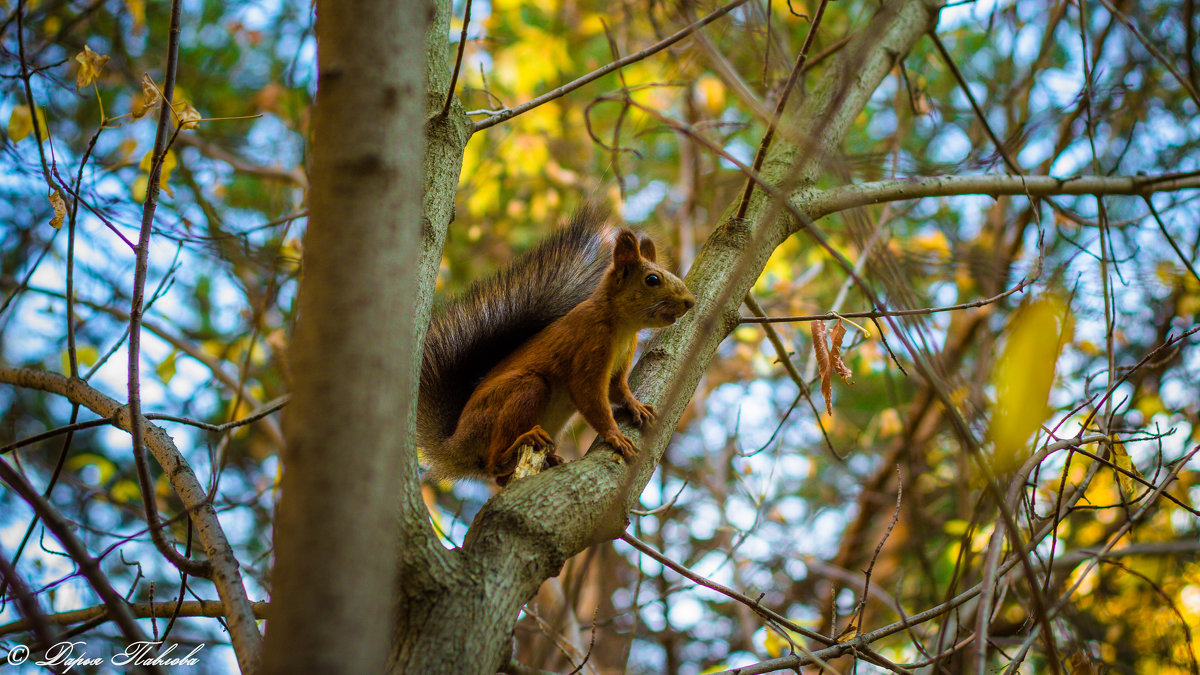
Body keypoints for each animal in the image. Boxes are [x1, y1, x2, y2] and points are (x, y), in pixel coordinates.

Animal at [420, 205, 696, 482]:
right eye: (652, 279)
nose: (690, 301)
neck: (622, 327)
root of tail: (457, 446)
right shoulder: (589, 345)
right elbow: (591, 398)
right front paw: (615, 435)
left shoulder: (619, 365)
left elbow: (617, 388)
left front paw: (635, 405)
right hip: (518, 393)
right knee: (493, 463)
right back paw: (519, 444)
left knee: (499, 477)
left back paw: (550, 459)